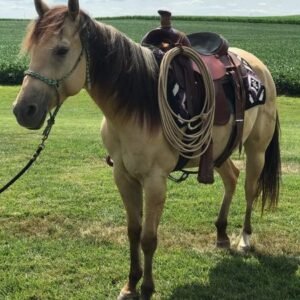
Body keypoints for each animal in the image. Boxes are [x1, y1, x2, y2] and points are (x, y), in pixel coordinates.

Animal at [12, 1, 282, 298]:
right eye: (32, 50)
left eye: (61, 50)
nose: (23, 110)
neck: (135, 105)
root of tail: (258, 67)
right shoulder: (123, 175)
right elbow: (133, 231)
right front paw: (130, 284)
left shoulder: (154, 181)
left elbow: (149, 238)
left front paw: (148, 288)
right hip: (219, 153)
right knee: (232, 178)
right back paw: (221, 235)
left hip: (256, 150)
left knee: (249, 189)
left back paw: (244, 239)